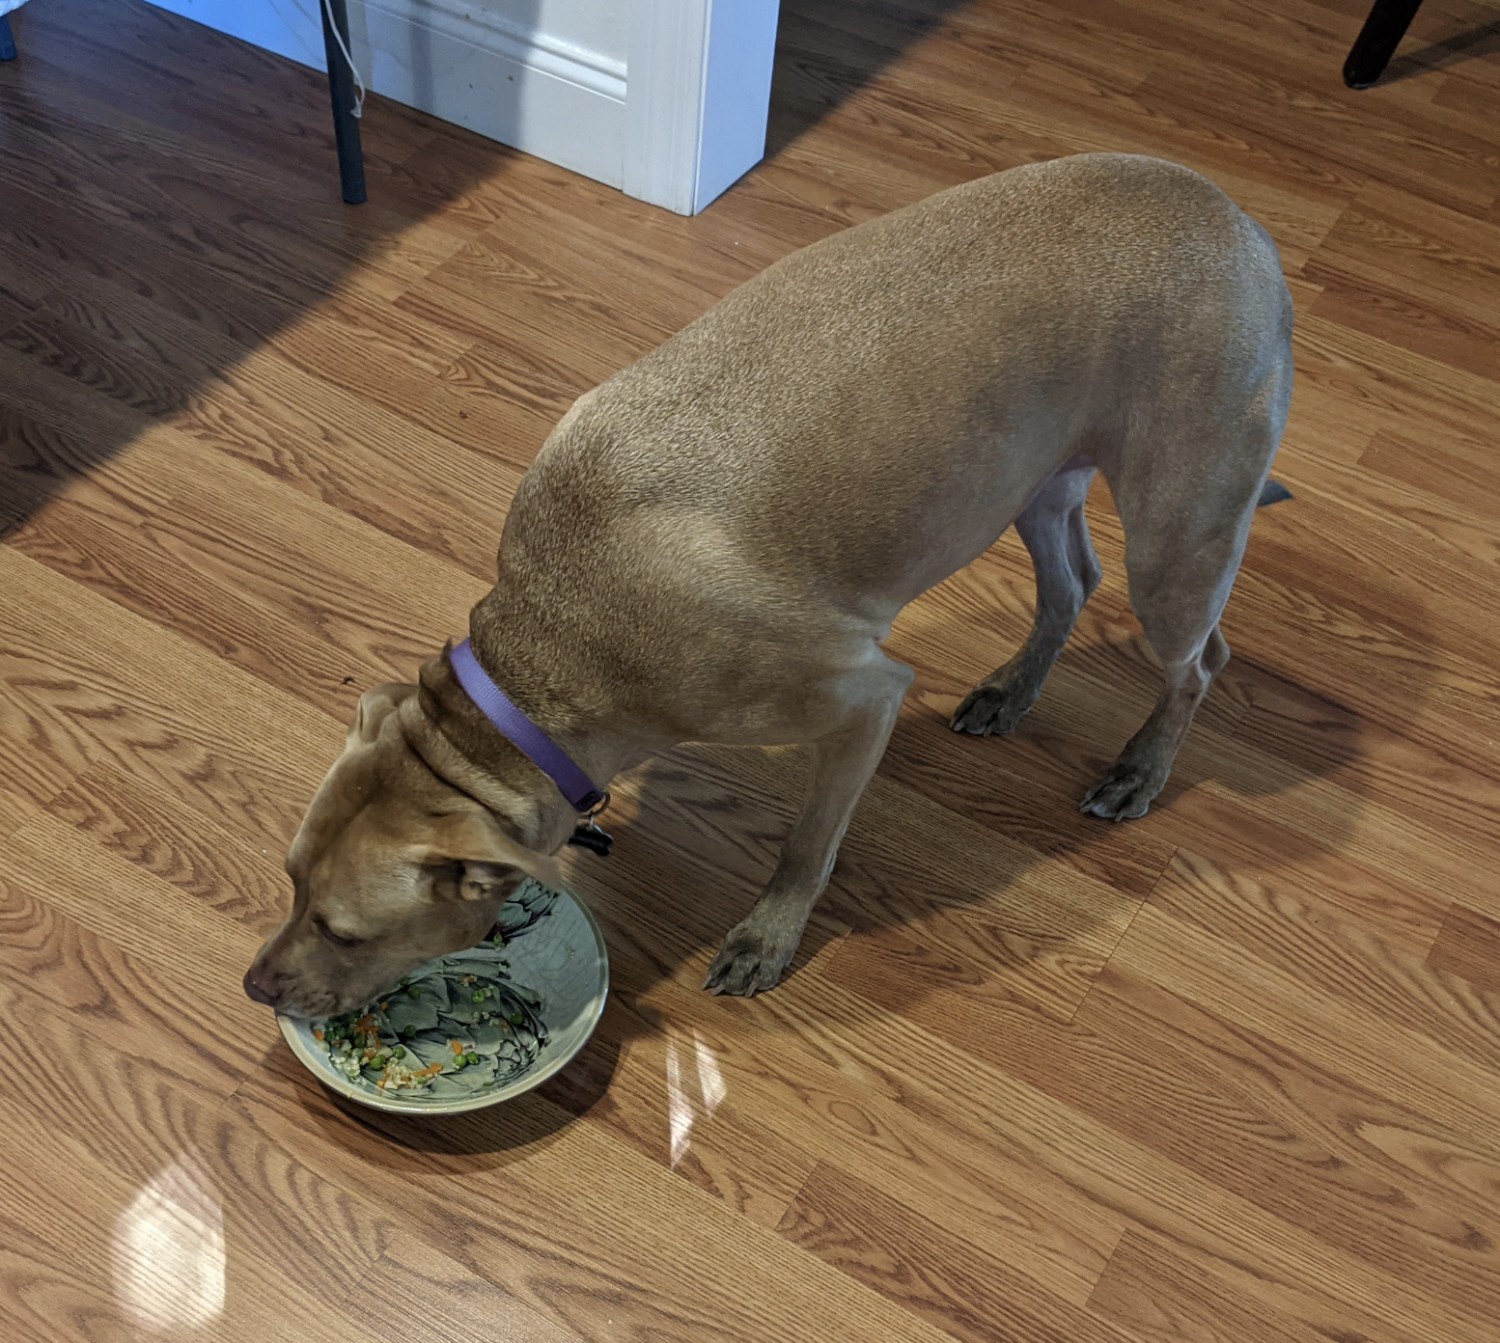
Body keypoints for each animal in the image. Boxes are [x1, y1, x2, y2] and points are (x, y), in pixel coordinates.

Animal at [243, 154, 1290, 1020]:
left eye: (345, 931)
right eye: (289, 881)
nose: (256, 986)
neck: (546, 662)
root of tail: (1240, 218)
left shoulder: (863, 698)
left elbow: (807, 843)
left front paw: (764, 939)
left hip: (1179, 533)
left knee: (1200, 659)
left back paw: (1139, 771)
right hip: (1025, 479)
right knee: (1073, 582)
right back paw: (1011, 690)